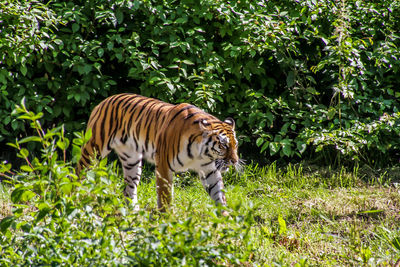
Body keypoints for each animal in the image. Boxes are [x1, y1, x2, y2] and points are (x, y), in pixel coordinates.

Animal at [77, 93, 241, 215]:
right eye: (223, 145)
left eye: (235, 144)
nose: (234, 161)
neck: (201, 153)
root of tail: (103, 102)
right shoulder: (164, 165)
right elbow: (165, 194)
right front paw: (167, 218)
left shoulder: (209, 169)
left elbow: (218, 192)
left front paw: (225, 216)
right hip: (93, 149)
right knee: (79, 173)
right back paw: (75, 200)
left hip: (132, 160)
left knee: (129, 187)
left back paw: (133, 211)